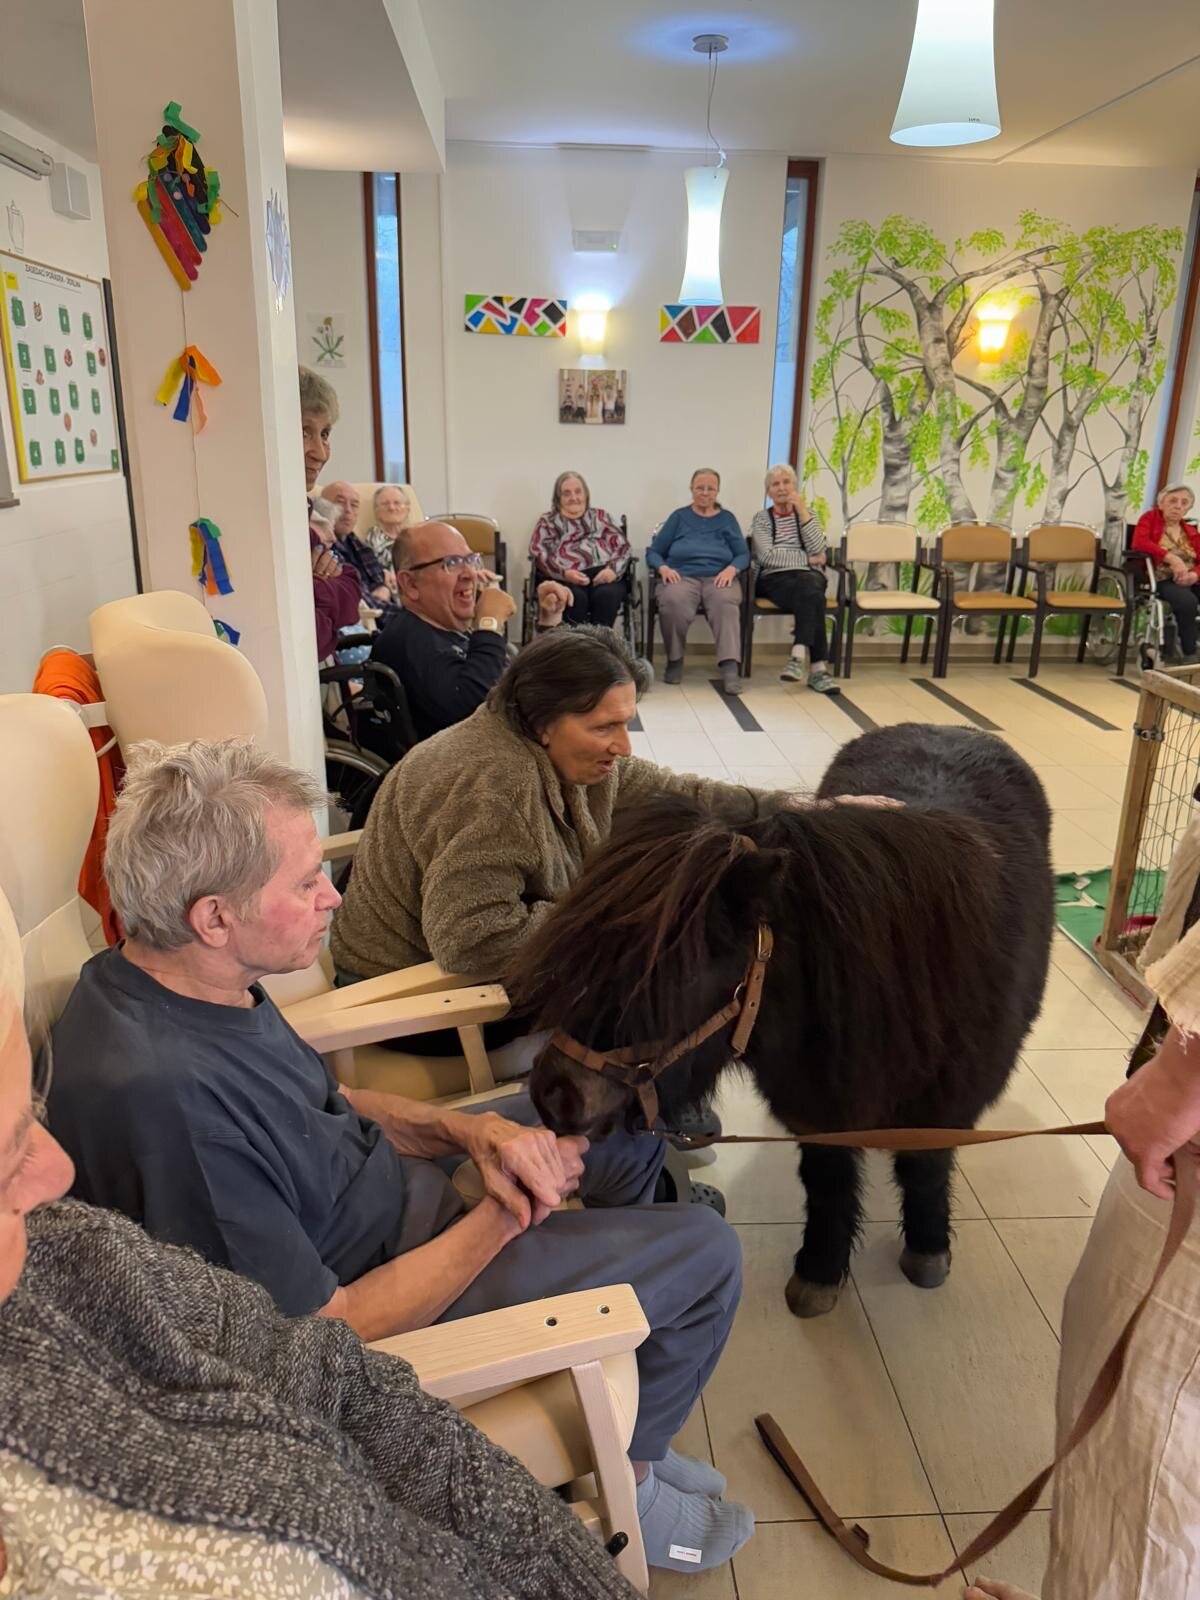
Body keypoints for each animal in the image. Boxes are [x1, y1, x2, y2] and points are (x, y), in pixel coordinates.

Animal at [509, 723, 1053, 1317]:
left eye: (676, 975)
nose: (554, 1094)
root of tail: (944, 727)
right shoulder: (815, 1110)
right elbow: (828, 1182)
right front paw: (820, 1269)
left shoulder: (943, 1105)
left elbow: (924, 1168)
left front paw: (927, 1248)